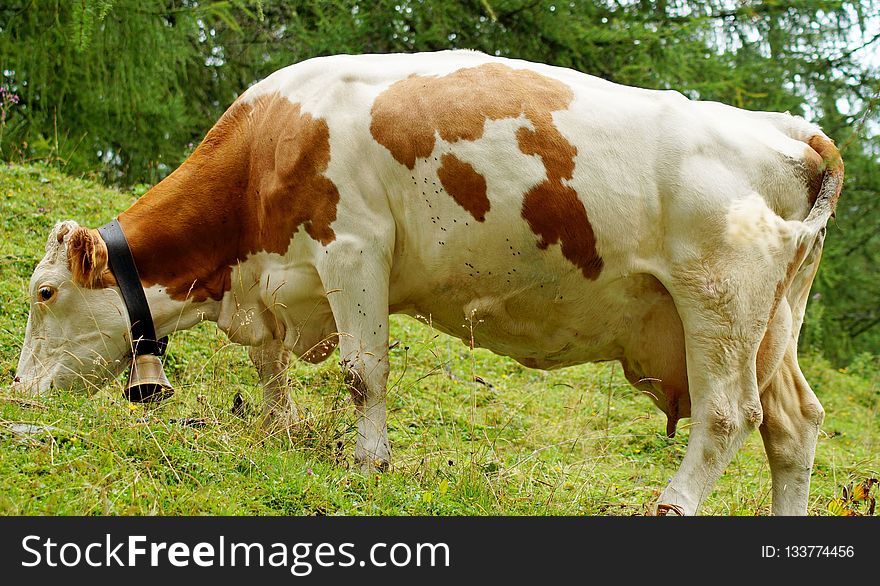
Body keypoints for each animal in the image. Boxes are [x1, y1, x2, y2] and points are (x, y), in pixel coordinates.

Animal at [10, 51, 844, 516]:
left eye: (43, 292)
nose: (16, 393)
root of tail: (788, 128)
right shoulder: (277, 280)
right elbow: (269, 364)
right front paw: (279, 431)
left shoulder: (353, 248)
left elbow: (362, 371)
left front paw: (368, 462)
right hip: (773, 325)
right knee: (793, 424)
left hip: (719, 301)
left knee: (728, 415)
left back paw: (671, 505)